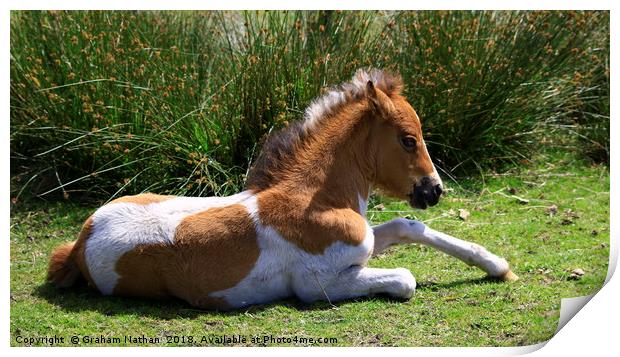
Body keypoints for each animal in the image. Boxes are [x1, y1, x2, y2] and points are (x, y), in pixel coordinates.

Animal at [48, 69, 516, 308]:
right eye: (407, 139)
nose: (433, 190)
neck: (318, 198)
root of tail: (79, 241)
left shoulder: (364, 240)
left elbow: (407, 226)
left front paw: (497, 265)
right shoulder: (316, 283)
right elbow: (404, 278)